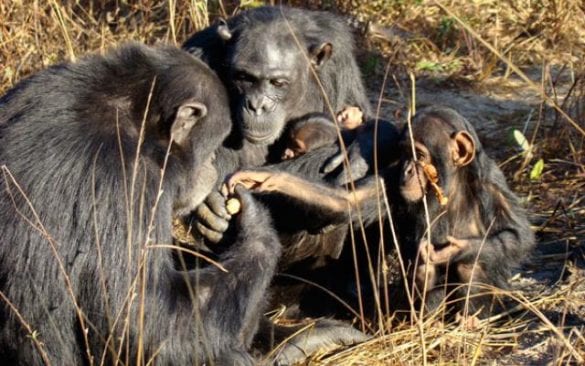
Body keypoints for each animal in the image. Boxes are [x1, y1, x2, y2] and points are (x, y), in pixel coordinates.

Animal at [390, 106, 536, 320]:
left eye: (420, 156)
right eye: (404, 153)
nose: (407, 170)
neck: (450, 186)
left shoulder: (492, 185)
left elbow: (518, 235)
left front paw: (460, 249)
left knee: (470, 265)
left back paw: (469, 320)